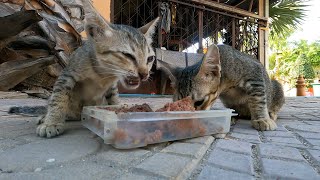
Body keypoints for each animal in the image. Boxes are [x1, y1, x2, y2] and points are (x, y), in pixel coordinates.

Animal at [33, 1, 160, 138]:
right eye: (128, 55)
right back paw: (47, 117)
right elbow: (59, 97)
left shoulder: (112, 86)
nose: (144, 74)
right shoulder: (67, 74)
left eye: (150, 58)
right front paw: (52, 122)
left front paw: (117, 110)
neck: (103, 74)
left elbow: (113, 98)